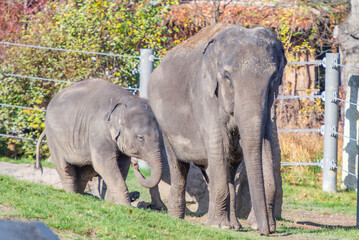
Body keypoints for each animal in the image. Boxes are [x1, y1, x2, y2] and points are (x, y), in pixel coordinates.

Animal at [35, 78, 165, 206]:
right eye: (140, 138)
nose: (136, 164)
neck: (125, 101)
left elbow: (122, 166)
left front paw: (112, 203)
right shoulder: (98, 131)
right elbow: (104, 164)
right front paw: (125, 205)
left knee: (85, 171)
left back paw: (79, 194)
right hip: (54, 138)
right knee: (65, 168)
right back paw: (72, 194)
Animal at [147, 23, 286, 235]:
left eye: (274, 77)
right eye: (227, 77)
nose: (264, 232)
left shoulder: (270, 107)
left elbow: (267, 146)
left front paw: (261, 225)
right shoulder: (206, 94)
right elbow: (218, 145)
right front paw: (217, 226)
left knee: (229, 167)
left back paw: (234, 225)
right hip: (165, 126)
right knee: (179, 166)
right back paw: (177, 218)